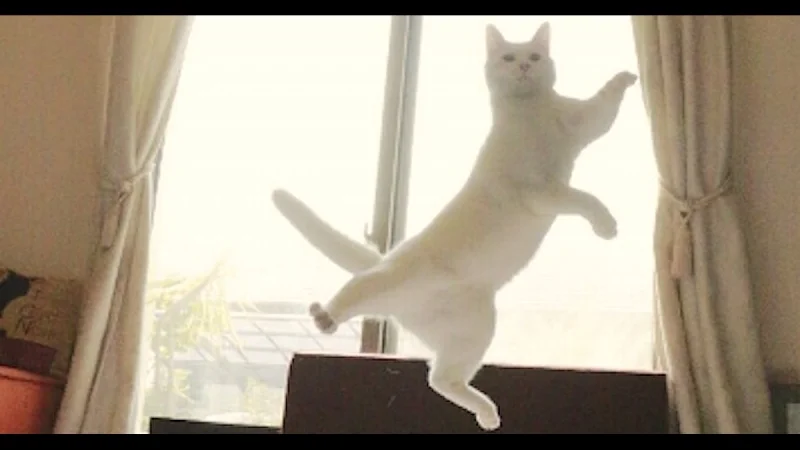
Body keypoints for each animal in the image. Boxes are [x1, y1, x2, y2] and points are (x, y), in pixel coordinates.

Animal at [271, 22, 638, 431]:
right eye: (508, 57)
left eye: (535, 55)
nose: (524, 65)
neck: (530, 112)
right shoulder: (539, 191)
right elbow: (585, 199)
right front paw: (606, 225)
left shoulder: (580, 124)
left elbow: (602, 107)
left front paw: (625, 77)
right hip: (394, 280)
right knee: (357, 287)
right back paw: (325, 316)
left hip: (474, 331)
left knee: (440, 378)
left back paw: (488, 414)